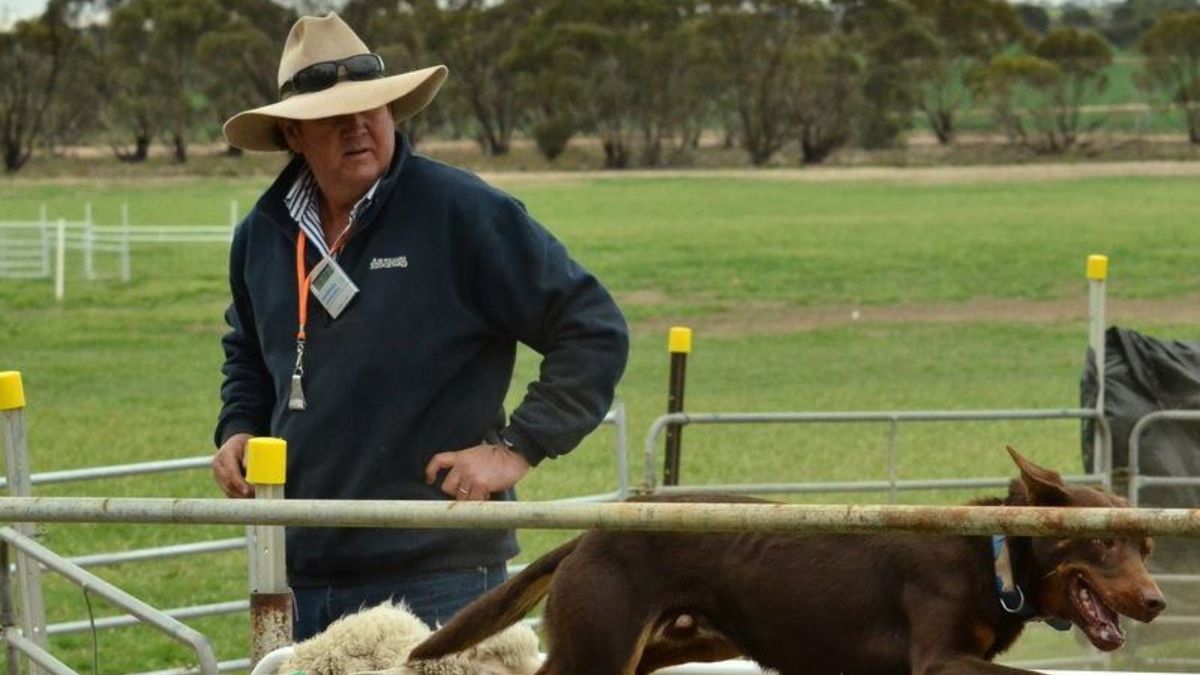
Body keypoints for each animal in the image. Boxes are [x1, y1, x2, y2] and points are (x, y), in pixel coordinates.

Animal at [412, 446, 1161, 672]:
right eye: (1102, 541)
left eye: (1147, 545)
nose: (1155, 601)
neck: (991, 556)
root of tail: (590, 535)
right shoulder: (939, 659)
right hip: (600, 646)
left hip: (671, 644)